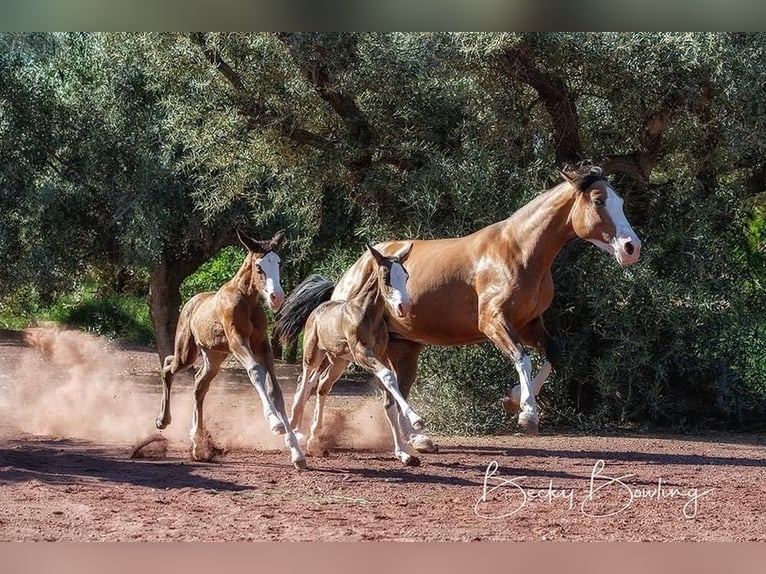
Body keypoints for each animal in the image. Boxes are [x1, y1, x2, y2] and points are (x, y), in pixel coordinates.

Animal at [276, 165, 640, 454]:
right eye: (598, 200)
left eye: (622, 201)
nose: (631, 247)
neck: (518, 251)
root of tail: (349, 273)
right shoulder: (494, 322)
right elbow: (522, 358)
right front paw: (527, 414)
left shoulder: (529, 323)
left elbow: (552, 356)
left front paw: (514, 400)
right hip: (342, 350)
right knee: (316, 382)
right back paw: (301, 434)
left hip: (401, 347)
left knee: (391, 387)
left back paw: (417, 439)